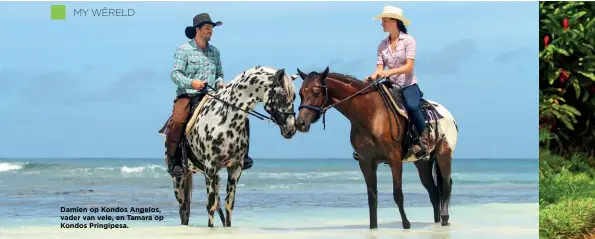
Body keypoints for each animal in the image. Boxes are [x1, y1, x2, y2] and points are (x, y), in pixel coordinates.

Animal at [162, 66, 298, 228]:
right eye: (282, 96)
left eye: (294, 96)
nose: (291, 129)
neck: (224, 117)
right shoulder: (211, 167)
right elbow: (211, 204)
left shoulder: (234, 168)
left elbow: (228, 204)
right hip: (180, 178)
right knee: (184, 209)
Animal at [296, 66, 458, 229]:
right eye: (300, 94)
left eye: (316, 93)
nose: (300, 123)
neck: (371, 115)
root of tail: (448, 114)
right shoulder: (366, 162)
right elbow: (372, 197)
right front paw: (373, 227)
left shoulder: (394, 159)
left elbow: (397, 194)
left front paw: (406, 225)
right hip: (423, 163)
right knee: (433, 191)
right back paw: (437, 221)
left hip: (443, 155)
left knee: (446, 184)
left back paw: (444, 218)